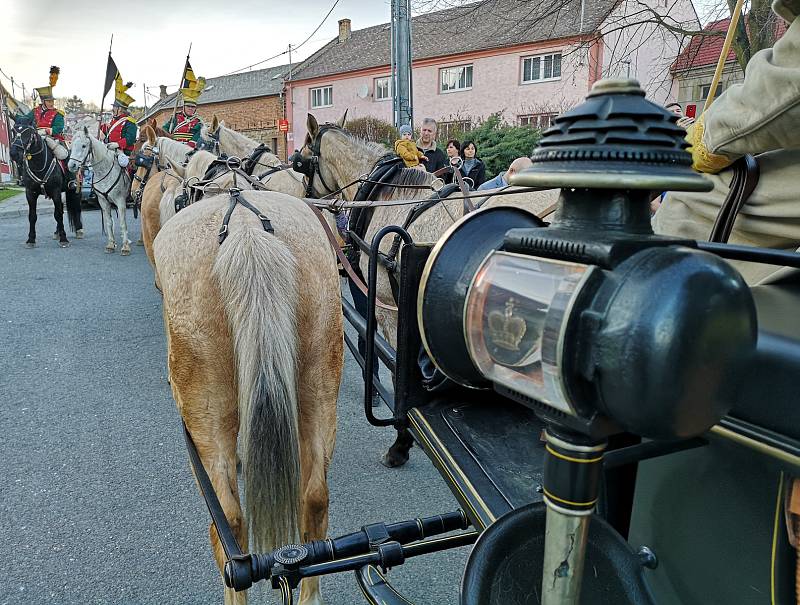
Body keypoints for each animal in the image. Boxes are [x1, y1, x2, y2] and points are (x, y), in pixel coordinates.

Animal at [8, 114, 83, 247]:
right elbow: (32, 216)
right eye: (13, 131)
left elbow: (58, 214)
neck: (39, 163)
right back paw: (57, 232)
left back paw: (78, 230)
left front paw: (63, 238)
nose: (14, 154)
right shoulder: (30, 193)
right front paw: (31, 239)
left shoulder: (55, 191)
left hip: (74, 190)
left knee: (76, 207)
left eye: (28, 132)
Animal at [68, 125, 134, 255]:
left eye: (84, 146)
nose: (71, 165)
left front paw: (125, 247)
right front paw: (111, 245)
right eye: (72, 145)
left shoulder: (120, 201)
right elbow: (109, 222)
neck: (104, 169)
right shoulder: (103, 201)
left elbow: (122, 223)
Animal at [290, 113, 560, 470]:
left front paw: (401, 444)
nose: (303, 199)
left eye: (301, 162)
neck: (389, 198)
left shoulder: (389, 309)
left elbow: (398, 374)